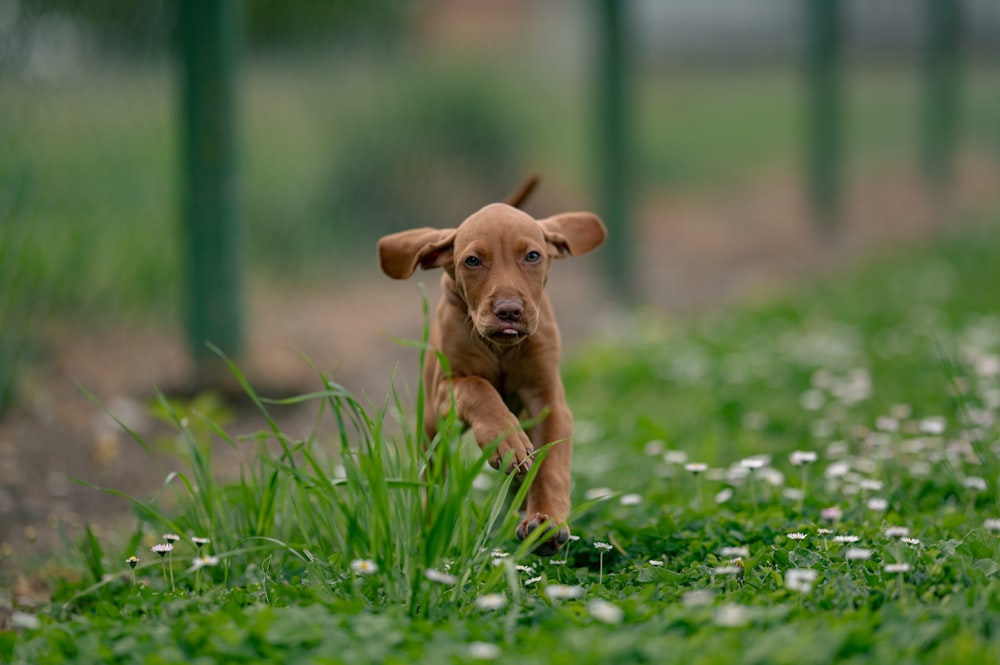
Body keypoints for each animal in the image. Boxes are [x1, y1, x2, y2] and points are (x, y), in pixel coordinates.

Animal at [376, 189, 604, 552]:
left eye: (533, 256)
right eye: (472, 261)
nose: (508, 311)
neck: (502, 349)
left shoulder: (548, 400)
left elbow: (550, 464)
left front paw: (545, 521)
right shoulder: (446, 388)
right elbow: (478, 388)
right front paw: (506, 440)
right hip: (432, 432)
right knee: (433, 479)